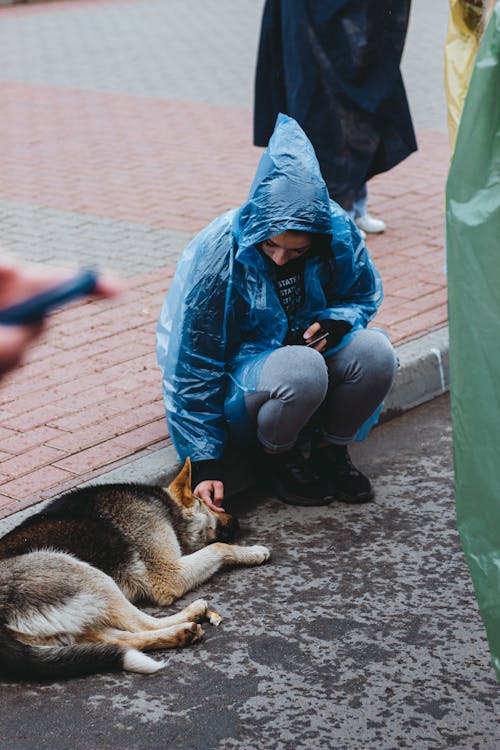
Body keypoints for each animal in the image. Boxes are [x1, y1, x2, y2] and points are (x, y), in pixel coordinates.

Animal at [0, 458, 270, 680]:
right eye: (205, 503)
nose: (236, 520)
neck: (166, 506)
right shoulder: (169, 575)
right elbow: (219, 547)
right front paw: (252, 552)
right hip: (85, 573)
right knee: (142, 624)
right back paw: (191, 614)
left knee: (121, 639)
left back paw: (179, 634)